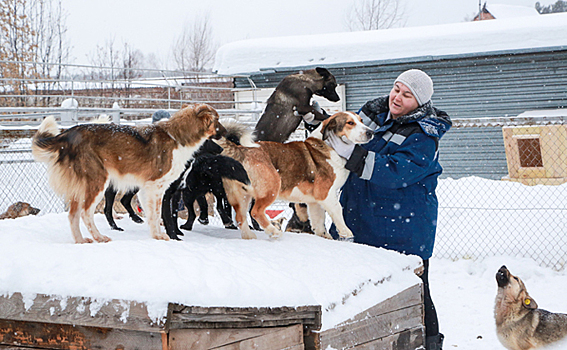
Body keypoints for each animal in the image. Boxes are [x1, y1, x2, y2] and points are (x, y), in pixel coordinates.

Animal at [31, 102, 226, 242]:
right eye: (217, 119)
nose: (224, 134)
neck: (177, 137)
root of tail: (65, 136)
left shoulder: (149, 189)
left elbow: (153, 216)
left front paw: (156, 235)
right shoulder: (156, 187)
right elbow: (158, 215)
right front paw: (162, 236)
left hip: (82, 189)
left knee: (73, 215)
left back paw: (80, 240)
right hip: (97, 182)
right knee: (86, 213)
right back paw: (99, 237)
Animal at [217, 112, 372, 241]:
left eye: (361, 120)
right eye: (350, 123)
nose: (371, 132)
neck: (329, 146)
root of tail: (240, 149)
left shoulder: (315, 202)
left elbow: (318, 222)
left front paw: (324, 237)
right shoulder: (326, 194)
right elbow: (338, 210)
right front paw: (346, 232)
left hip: (242, 196)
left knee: (240, 217)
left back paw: (249, 237)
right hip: (272, 187)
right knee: (256, 212)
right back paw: (274, 232)